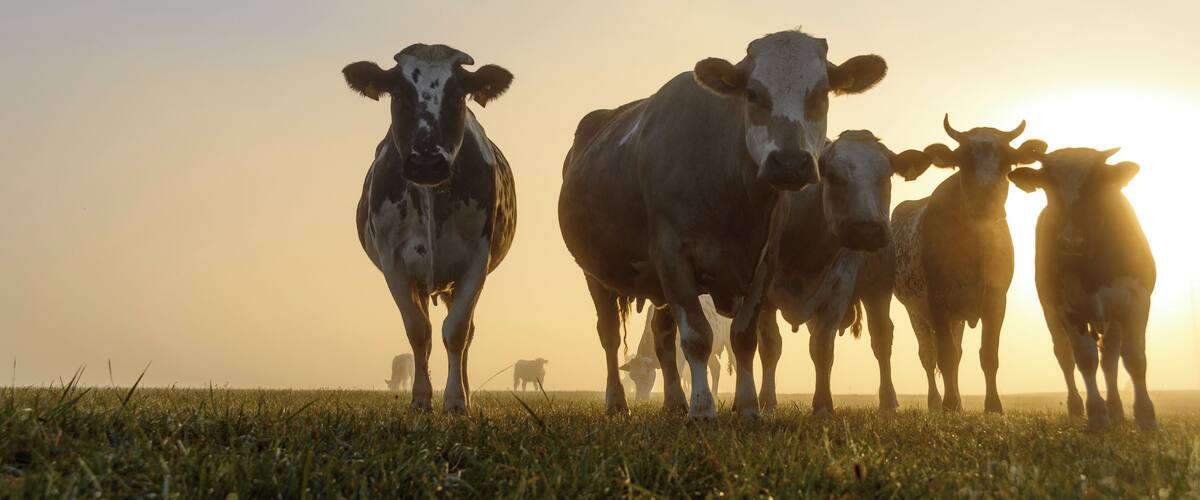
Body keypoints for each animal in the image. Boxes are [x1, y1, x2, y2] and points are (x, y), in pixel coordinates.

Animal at [343, 44, 516, 413]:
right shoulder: (394, 263)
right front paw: (421, 399)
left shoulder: (476, 261)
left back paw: (465, 391)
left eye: (457, 95)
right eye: (398, 93)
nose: (426, 161)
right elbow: (418, 331)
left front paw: (456, 400)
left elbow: (457, 331)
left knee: (466, 333)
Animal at [560, 30, 889, 418]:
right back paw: (617, 401)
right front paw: (703, 408)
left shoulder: (764, 262)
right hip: (595, 274)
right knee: (609, 335)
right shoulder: (671, 256)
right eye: (752, 93)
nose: (790, 163)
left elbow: (744, 338)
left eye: (822, 93)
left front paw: (747, 407)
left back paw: (674, 402)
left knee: (662, 337)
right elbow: (697, 338)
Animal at [759, 131, 933, 415]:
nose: (867, 230)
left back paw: (888, 400)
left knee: (881, 338)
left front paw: (822, 404)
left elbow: (822, 347)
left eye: (886, 176)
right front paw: (766, 401)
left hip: (878, 289)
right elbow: (770, 346)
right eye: (832, 175)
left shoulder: (839, 288)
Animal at [892, 115, 1046, 413]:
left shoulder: (996, 299)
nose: (985, 204)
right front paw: (949, 403)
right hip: (916, 311)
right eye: (964, 161)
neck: (974, 245)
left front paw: (993, 405)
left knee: (957, 353)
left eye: (1007, 162)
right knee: (929, 356)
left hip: (957, 317)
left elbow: (988, 355)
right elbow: (945, 356)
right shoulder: (938, 300)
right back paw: (936, 403)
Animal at [1009, 147, 1156, 430]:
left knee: (1110, 356)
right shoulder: (1068, 307)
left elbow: (1134, 357)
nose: (1071, 242)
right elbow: (1085, 359)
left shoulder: (1137, 299)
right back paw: (1077, 406)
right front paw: (1097, 415)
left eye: (1096, 182)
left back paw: (1116, 408)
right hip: (1051, 311)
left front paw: (1145, 415)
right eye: (1049, 186)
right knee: (1065, 355)